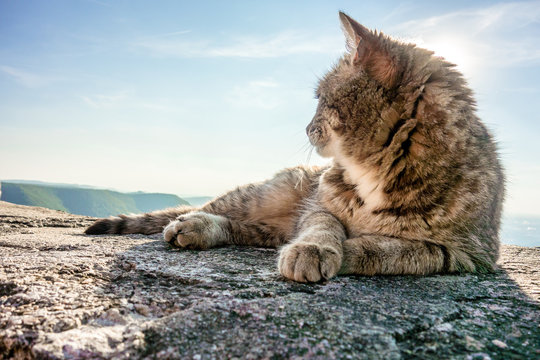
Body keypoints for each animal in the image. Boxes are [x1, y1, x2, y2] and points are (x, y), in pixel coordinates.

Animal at [84, 12, 502, 284]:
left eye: (320, 99)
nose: (305, 126)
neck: (377, 170)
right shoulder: (318, 205)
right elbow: (323, 224)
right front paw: (316, 247)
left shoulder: (465, 253)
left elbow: (393, 250)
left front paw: (348, 250)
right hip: (271, 191)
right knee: (211, 210)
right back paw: (192, 223)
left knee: (252, 231)